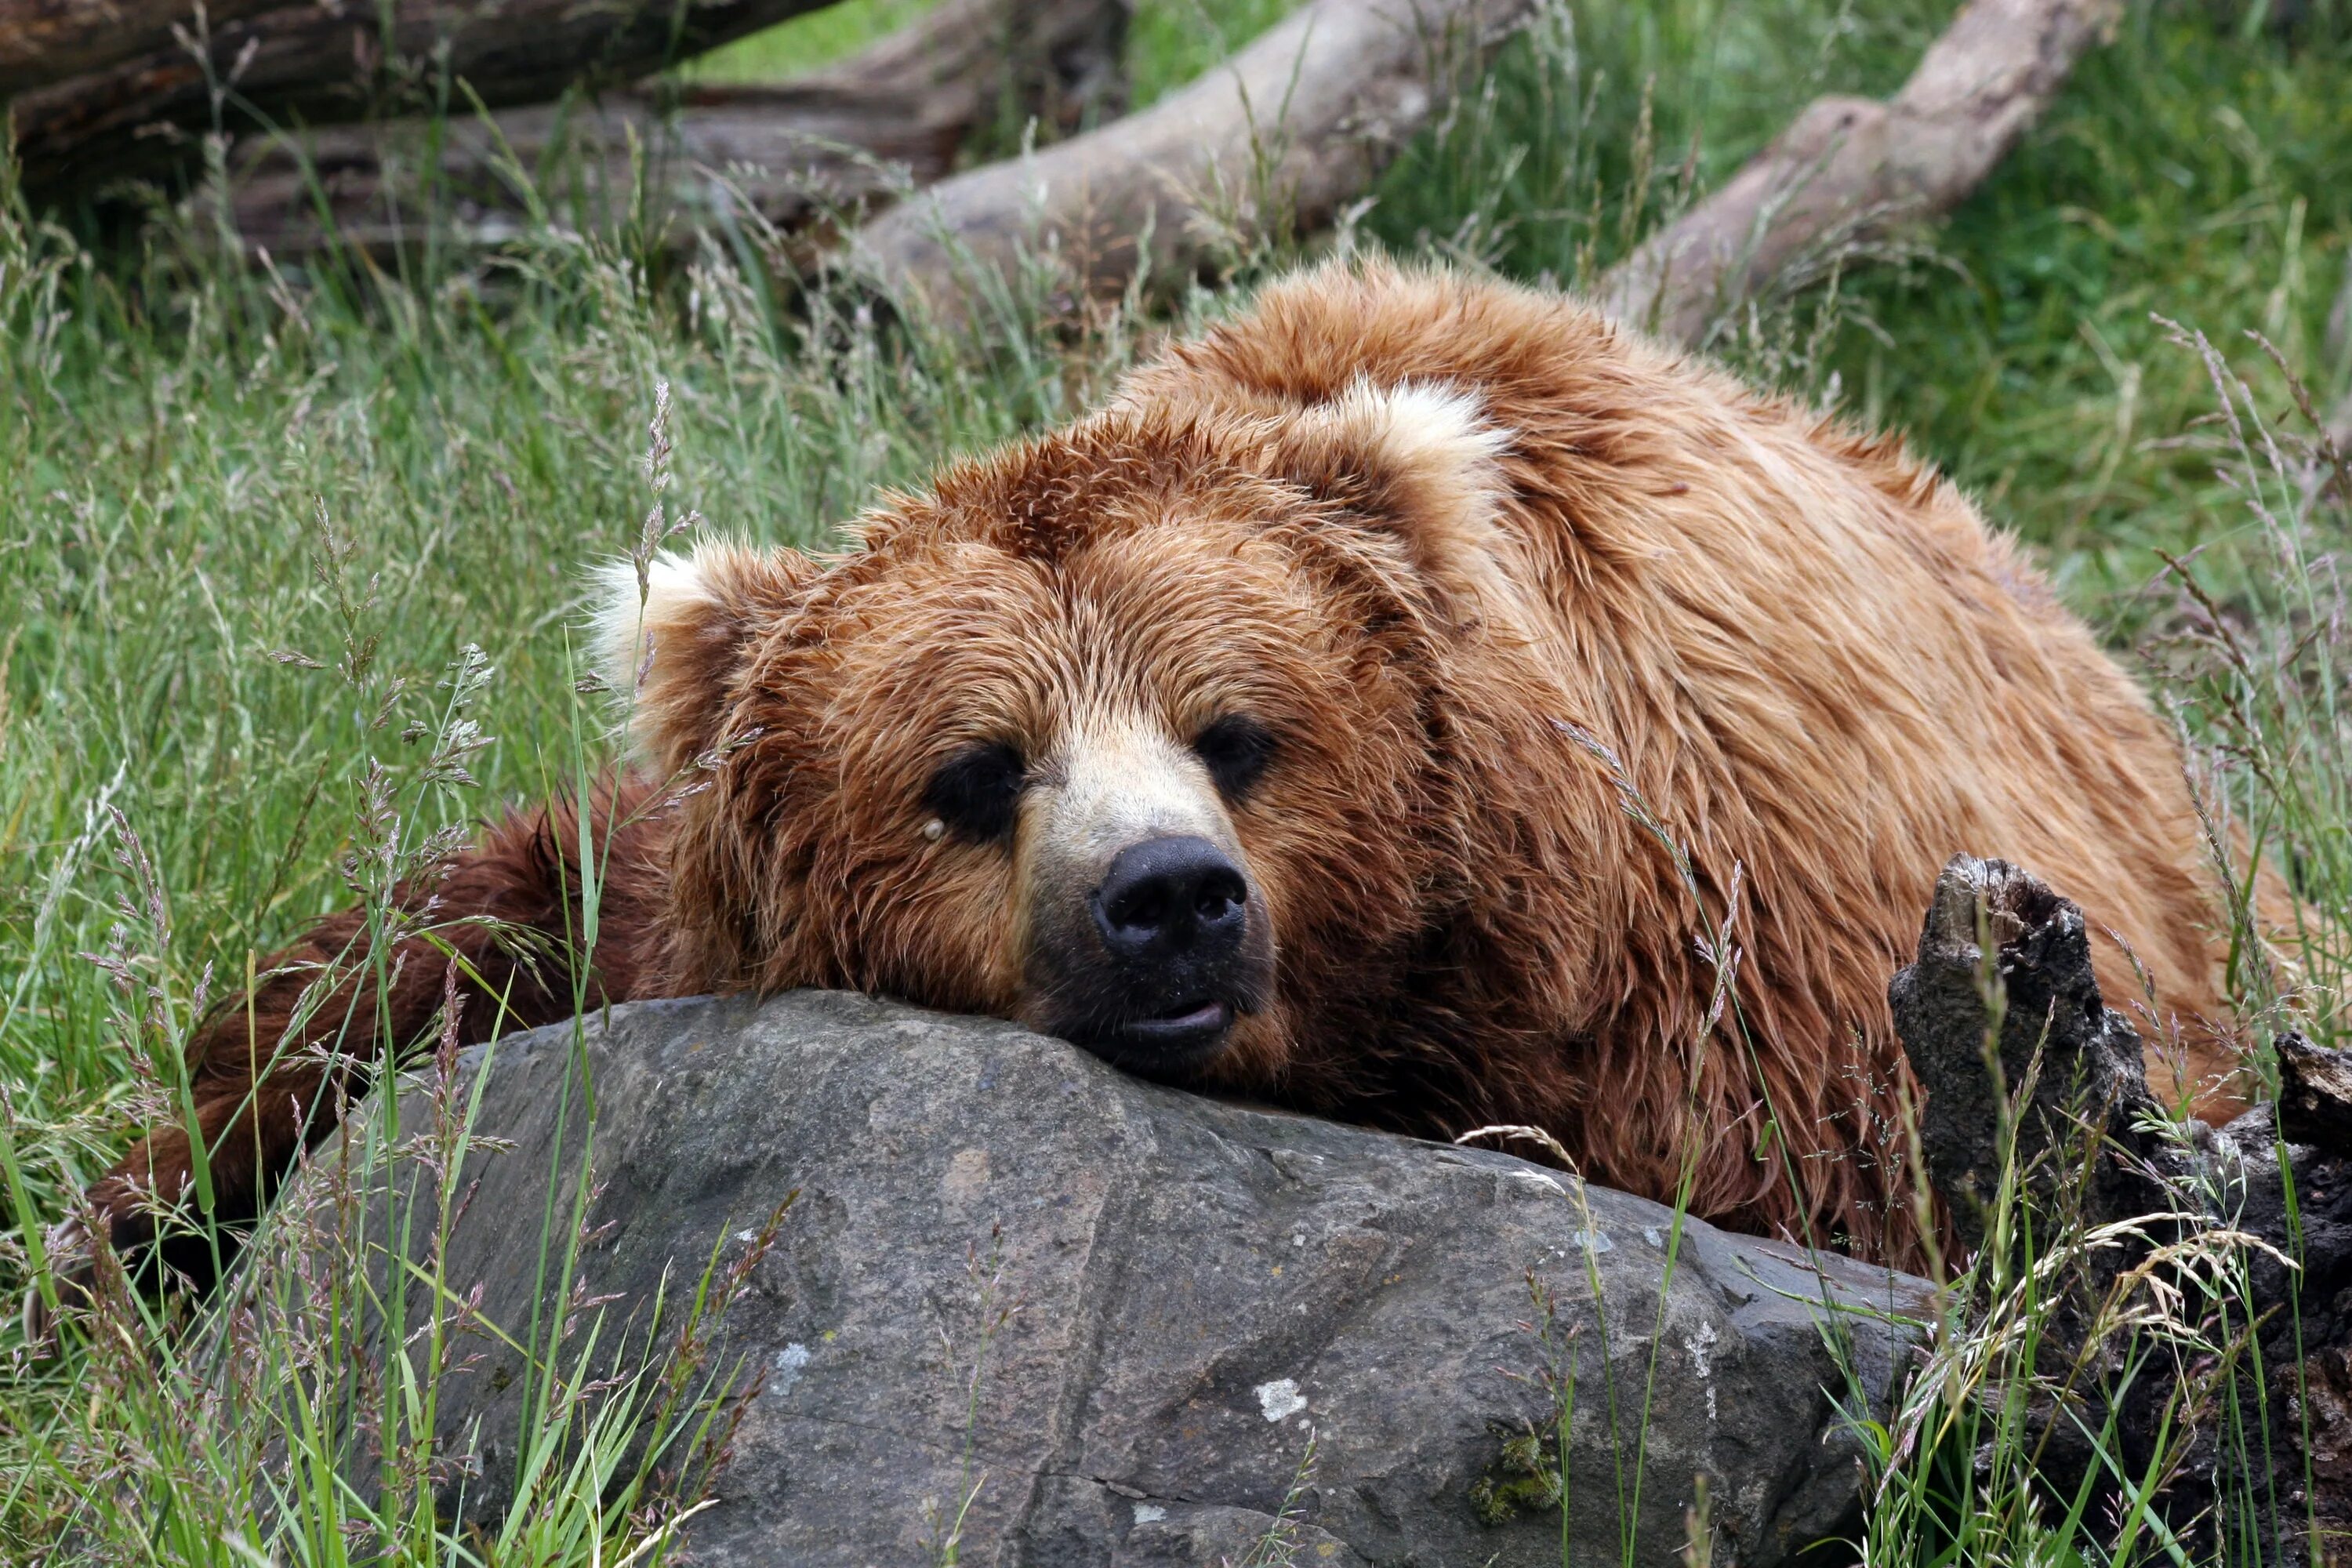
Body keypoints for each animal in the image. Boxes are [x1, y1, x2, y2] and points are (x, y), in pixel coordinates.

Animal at [73, 260, 2277, 1288]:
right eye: (974, 768)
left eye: (1241, 730)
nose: (1169, 901)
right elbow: (424, 959)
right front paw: (139, 1232)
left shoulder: (1761, 964)